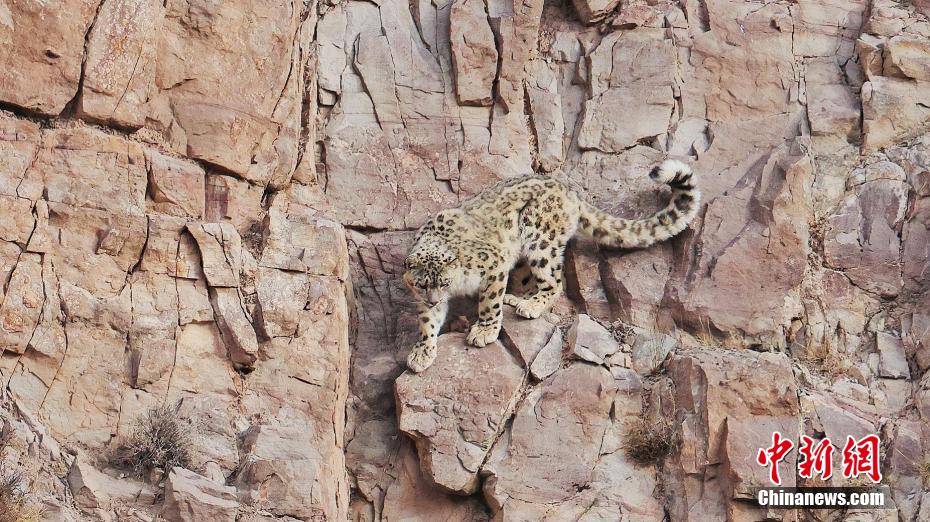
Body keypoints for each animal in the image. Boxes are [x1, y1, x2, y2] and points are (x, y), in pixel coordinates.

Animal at [402, 159, 700, 373]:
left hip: (539, 238)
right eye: (423, 284)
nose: (433, 300)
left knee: (554, 282)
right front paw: (421, 352)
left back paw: (530, 306)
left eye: (444, 282)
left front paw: (484, 331)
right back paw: (518, 298)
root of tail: (569, 191)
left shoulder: (493, 263)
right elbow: (427, 323)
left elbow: (488, 303)